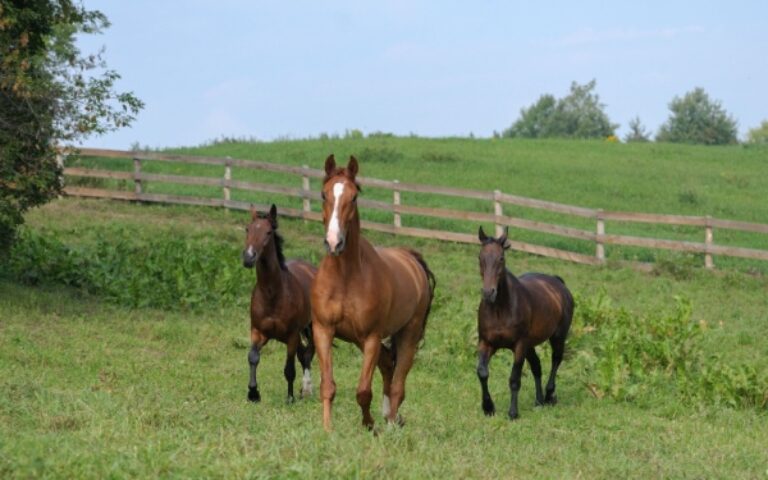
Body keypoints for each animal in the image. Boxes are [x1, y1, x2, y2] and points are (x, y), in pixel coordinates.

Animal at [242, 204, 317, 404]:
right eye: (247, 229)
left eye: (268, 232)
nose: (248, 257)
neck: (273, 294)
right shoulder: (258, 331)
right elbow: (253, 357)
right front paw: (253, 393)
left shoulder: (291, 336)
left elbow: (289, 368)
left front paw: (290, 398)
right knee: (304, 355)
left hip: (311, 326)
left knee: (309, 353)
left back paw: (306, 389)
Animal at [311, 155, 436, 431]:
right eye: (324, 194)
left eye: (354, 197)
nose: (334, 242)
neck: (345, 278)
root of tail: (411, 259)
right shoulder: (323, 330)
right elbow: (328, 386)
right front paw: (327, 429)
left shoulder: (371, 337)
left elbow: (363, 391)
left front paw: (369, 425)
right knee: (388, 366)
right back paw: (389, 416)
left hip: (408, 334)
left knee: (398, 382)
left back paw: (390, 423)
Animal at [476, 226, 574, 420]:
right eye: (480, 257)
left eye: (501, 258)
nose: (488, 293)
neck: (500, 309)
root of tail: (558, 283)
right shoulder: (487, 343)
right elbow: (482, 372)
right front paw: (488, 408)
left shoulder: (519, 346)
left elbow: (514, 379)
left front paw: (513, 413)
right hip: (531, 345)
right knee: (537, 366)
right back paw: (539, 400)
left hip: (558, 337)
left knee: (556, 360)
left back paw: (549, 395)